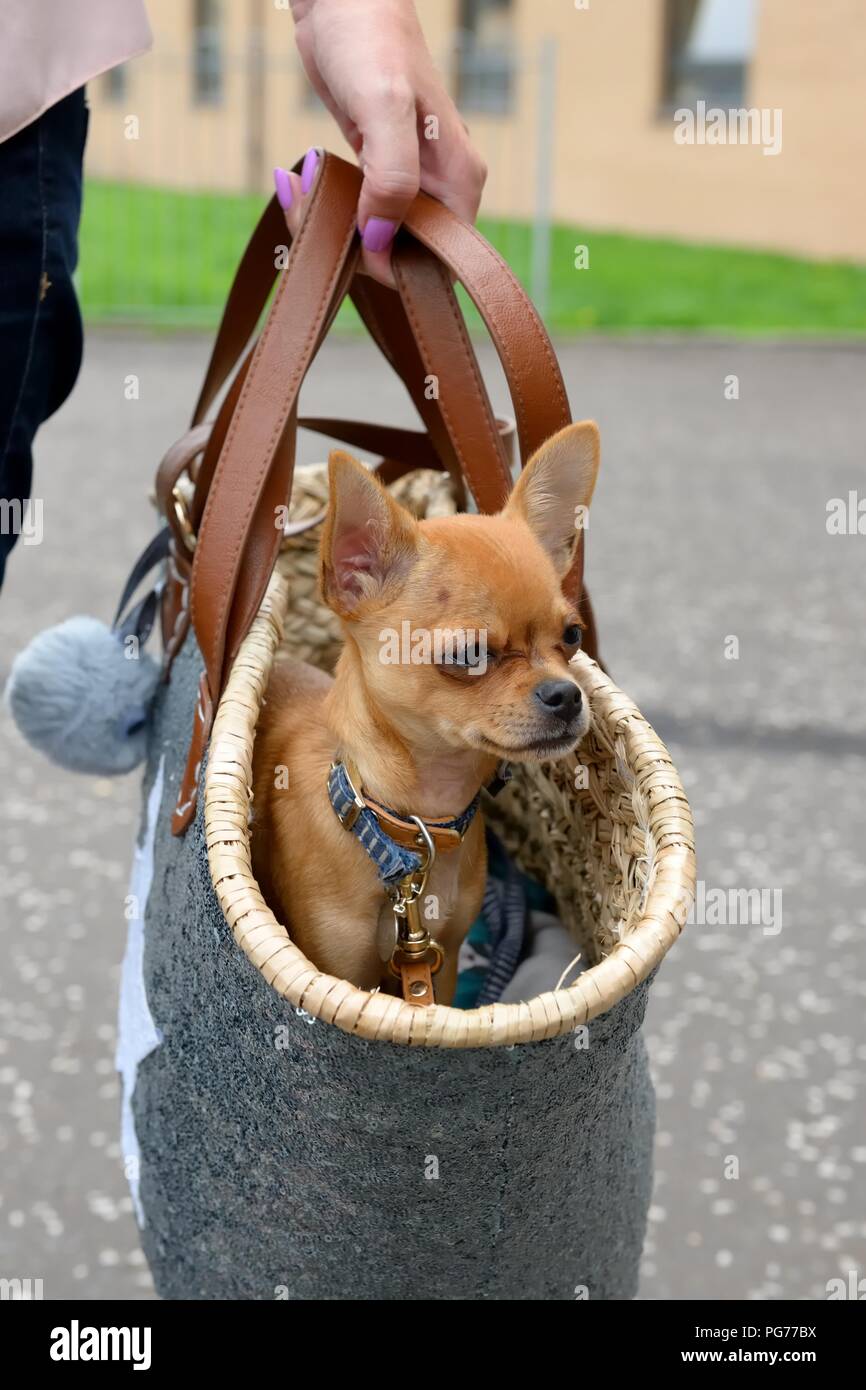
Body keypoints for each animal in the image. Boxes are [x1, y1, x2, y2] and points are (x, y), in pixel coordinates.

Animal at [252, 417, 594, 1006]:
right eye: (469, 655)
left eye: (572, 636)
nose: (566, 695)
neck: (409, 828)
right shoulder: (338, 970)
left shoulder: (443, 959)